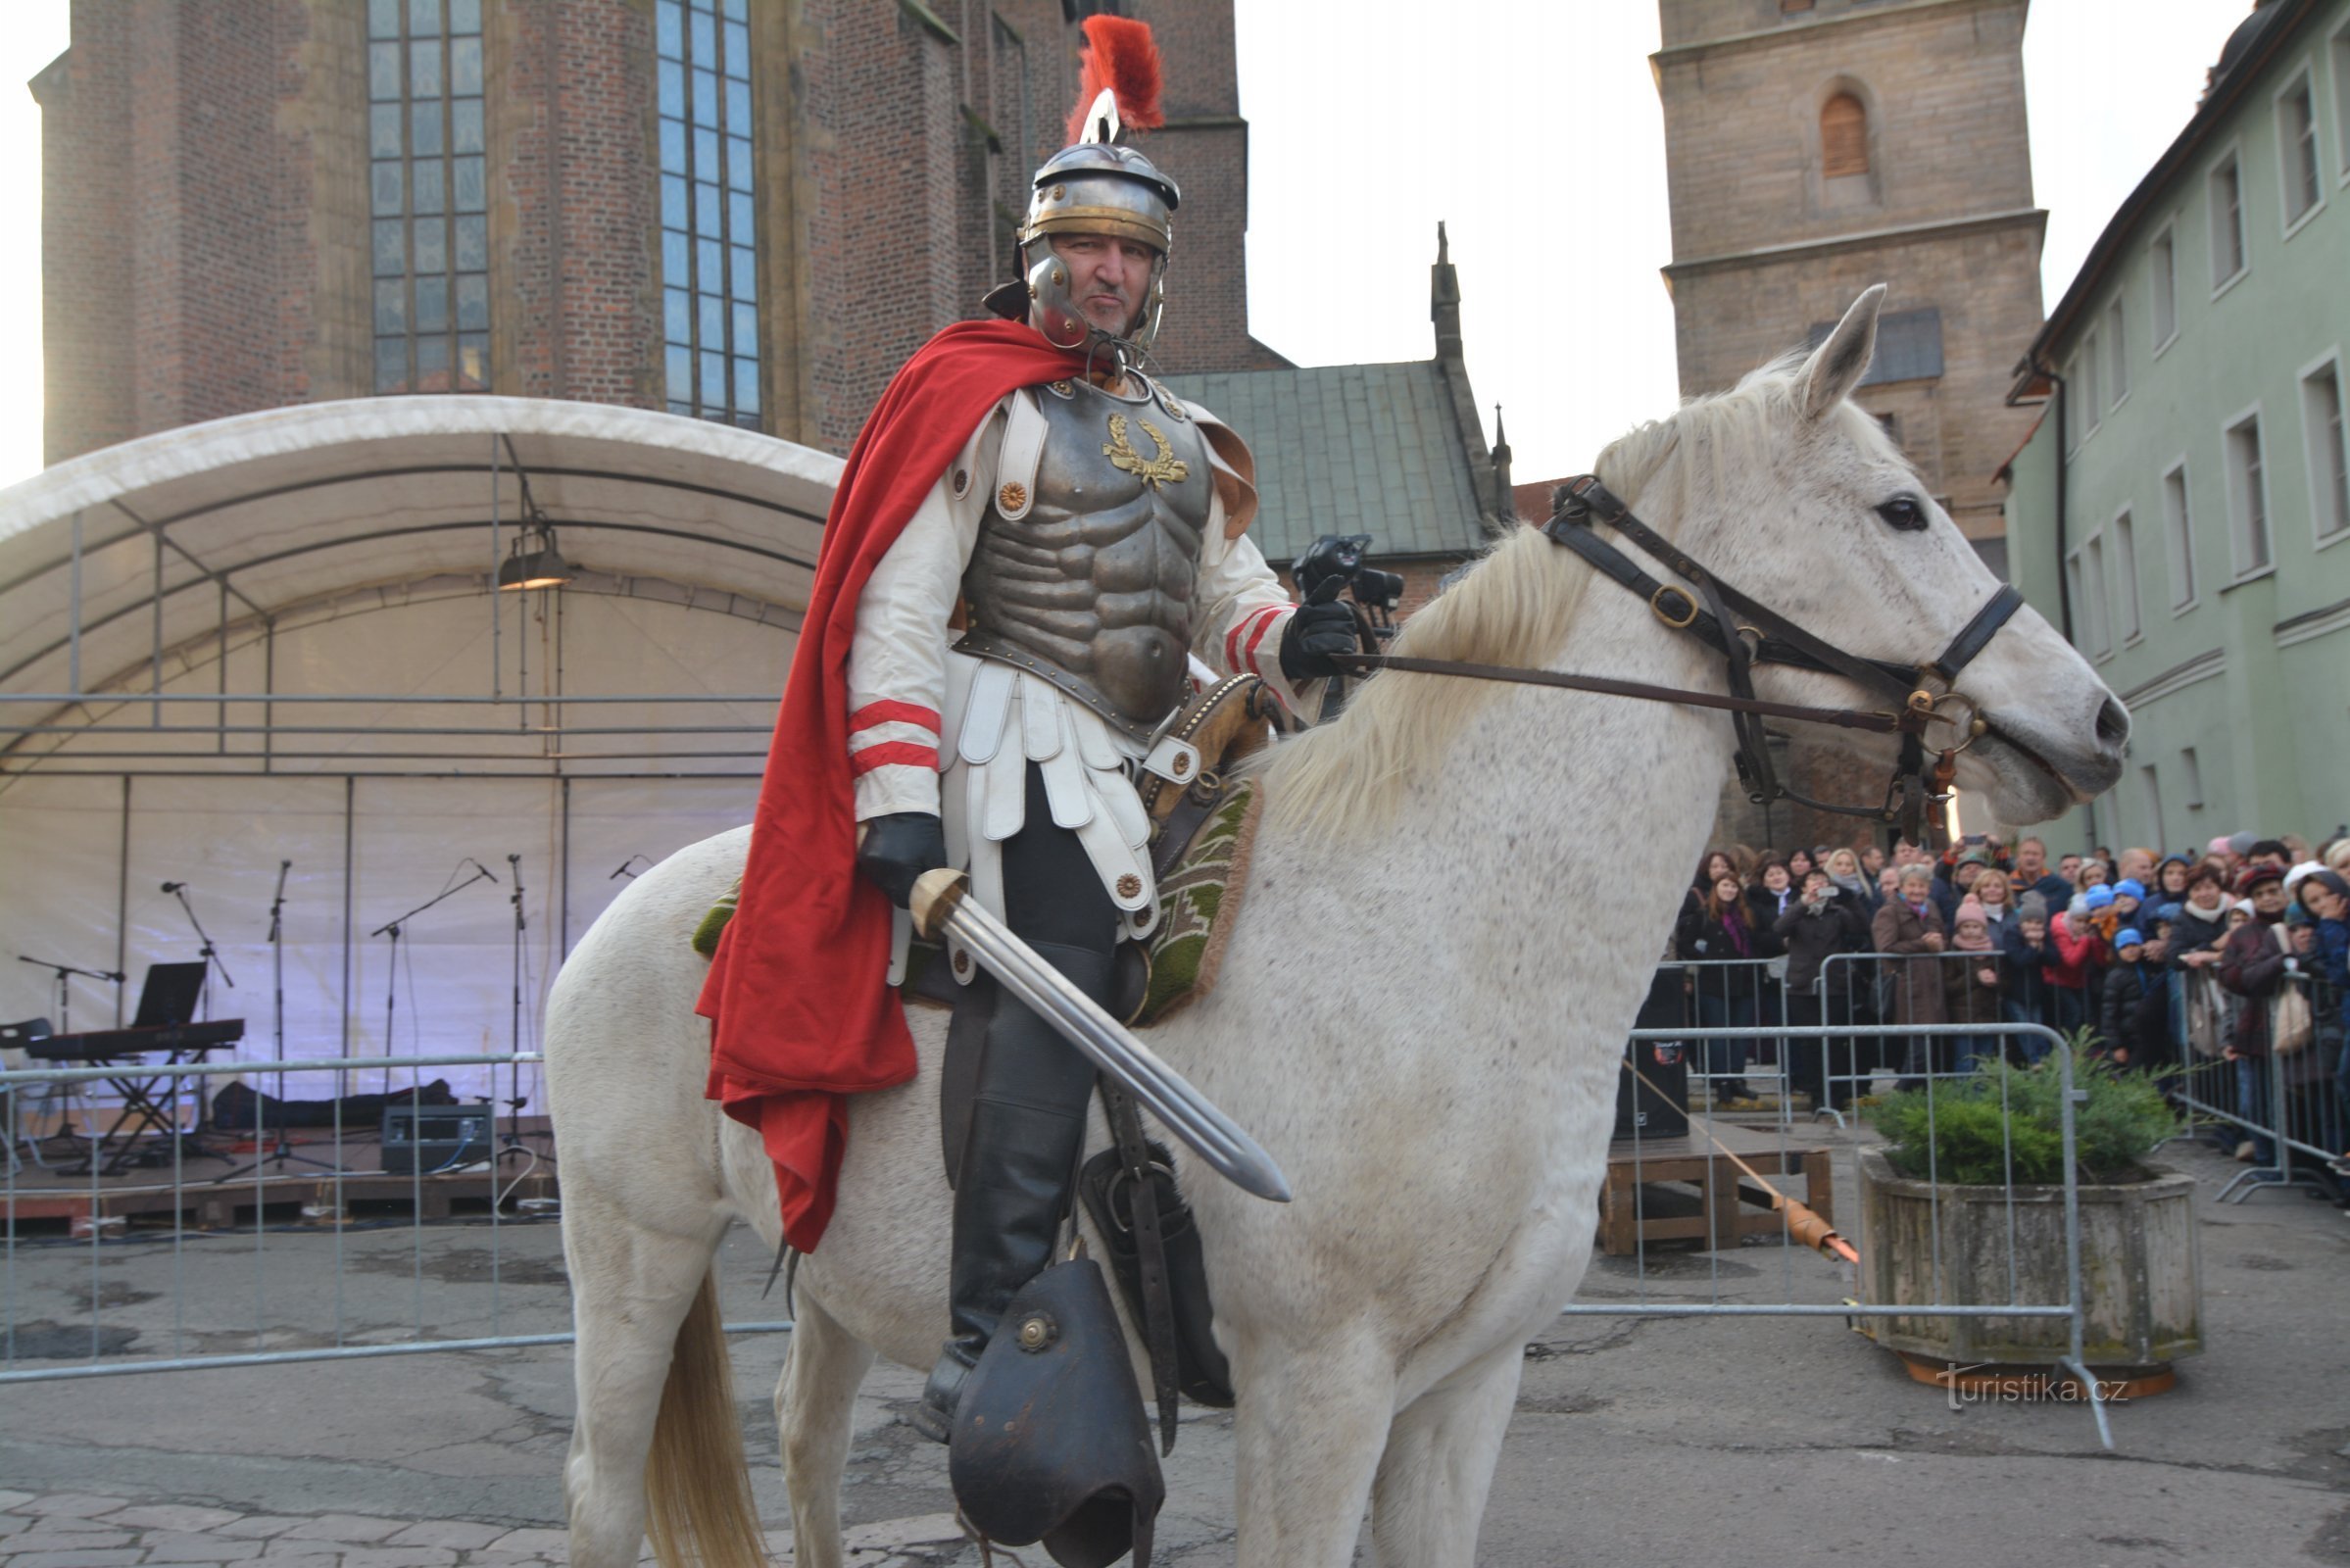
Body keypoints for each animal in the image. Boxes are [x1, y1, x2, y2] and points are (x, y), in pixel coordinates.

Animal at [545, 291, 2133, 1568]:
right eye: (1899, 509)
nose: (2101, 721)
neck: (1449, 935)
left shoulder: (1462, 1390)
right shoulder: (1317, 1387)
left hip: (823, 1271)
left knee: (804, 1448)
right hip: (632, 1250)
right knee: (603, 1494)